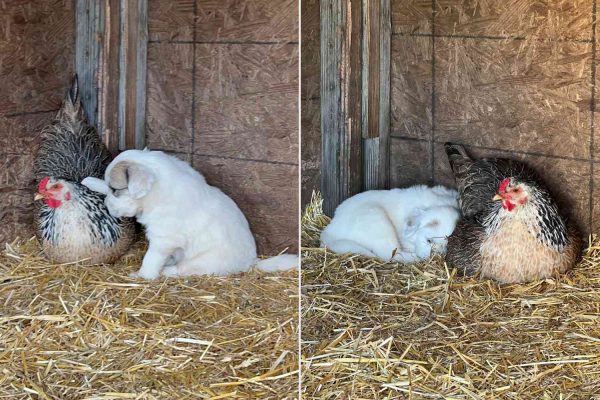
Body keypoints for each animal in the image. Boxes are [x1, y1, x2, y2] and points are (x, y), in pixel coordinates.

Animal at [82, 149, 298, 278]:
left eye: (116, 190)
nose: (108, 206)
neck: (155, 193)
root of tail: (251, 262)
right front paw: (91, 182)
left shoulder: (163, 239)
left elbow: (150, 258)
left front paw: (142, 276)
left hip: (204, 261)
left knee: (182, 269)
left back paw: (167, 270)